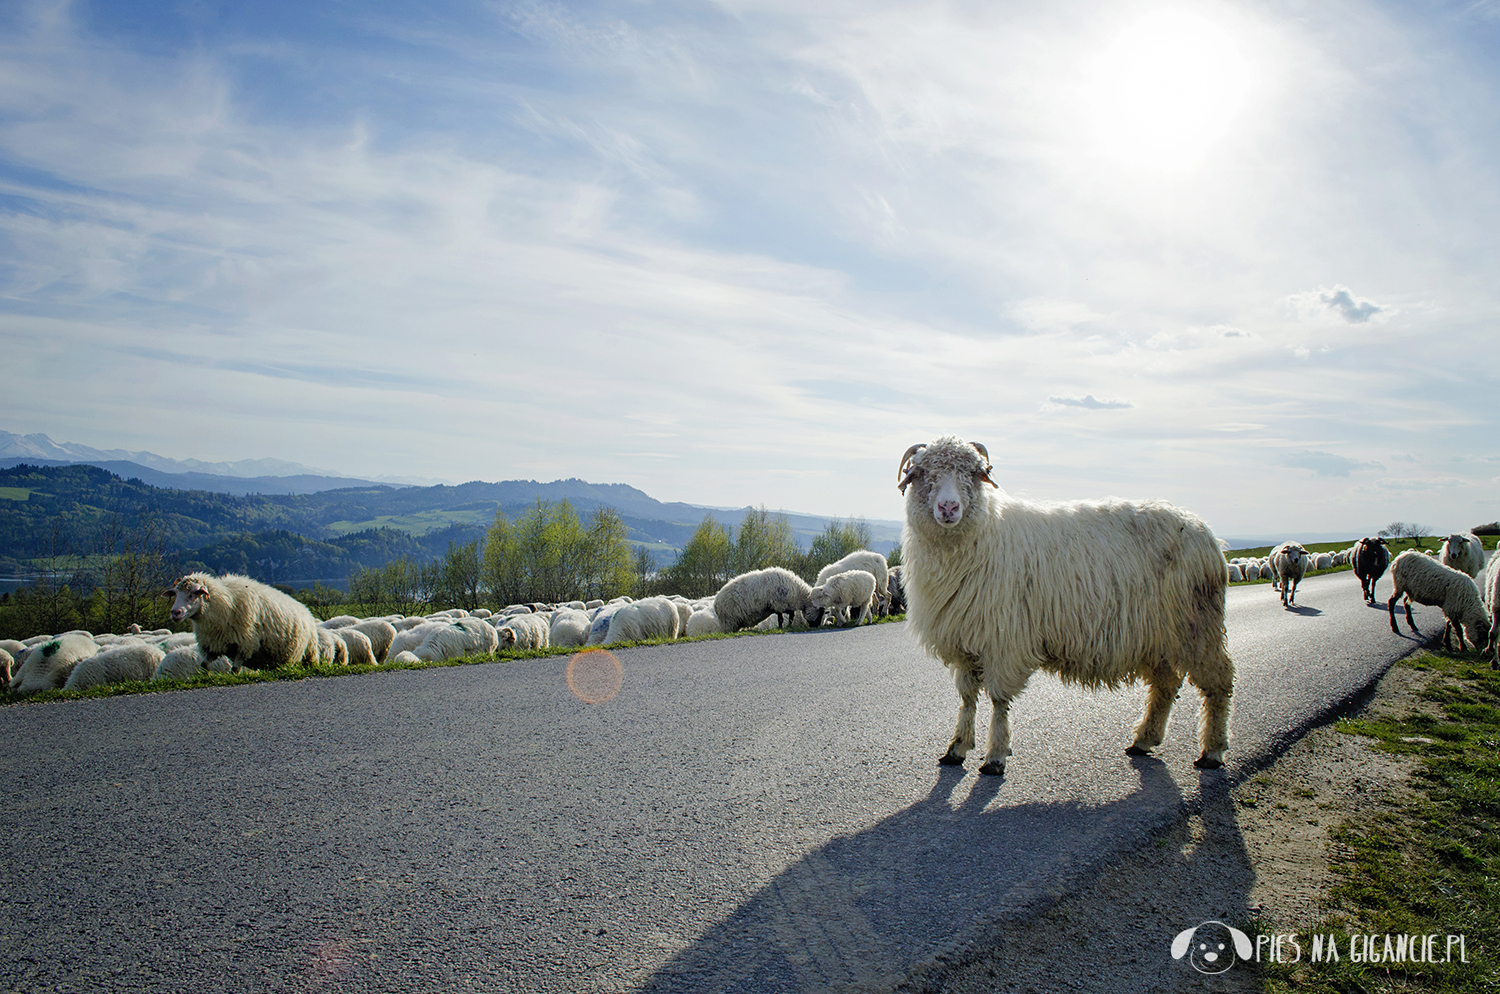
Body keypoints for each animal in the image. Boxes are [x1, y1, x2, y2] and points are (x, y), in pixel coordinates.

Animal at [166, 572, 319, 671]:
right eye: (176, 594)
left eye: (194, 593)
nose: (175, 612)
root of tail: (306, 610)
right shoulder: (212, 643)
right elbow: (204, 665)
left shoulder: (244, 643)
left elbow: (235, 669)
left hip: (306, 652)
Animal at [894, 437, 1236, 779]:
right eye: (921, 473)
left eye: (974, 473)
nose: (948, 508)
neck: (980, 537)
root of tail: (1204, 531)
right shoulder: (964, 640)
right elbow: (967, 698)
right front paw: (957, 748)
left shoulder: (1005, 641)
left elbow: (999, 700)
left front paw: (995, 756)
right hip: (1156, 637)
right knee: (1165, 686)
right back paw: (1144, 739)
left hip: (1197, 624)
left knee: (1218, 682)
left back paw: (1212, 750)